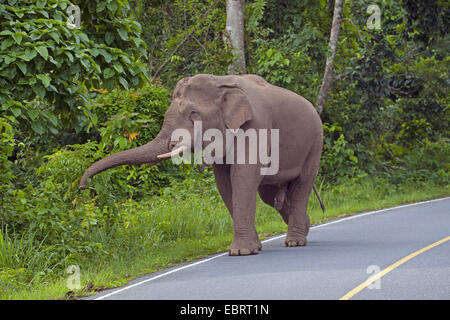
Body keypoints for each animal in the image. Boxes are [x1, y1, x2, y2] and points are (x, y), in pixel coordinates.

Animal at [79, 74, 326, 256]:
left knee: (302, 183)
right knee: (269, 193)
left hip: (315, 143)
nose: (82, 187)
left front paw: (241, 252)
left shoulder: (258, 126)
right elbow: (225, 183)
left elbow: (242, 177)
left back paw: (295, 242)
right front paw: (251, 248)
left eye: (193, 113)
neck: (220, 82)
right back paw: (305, 226)